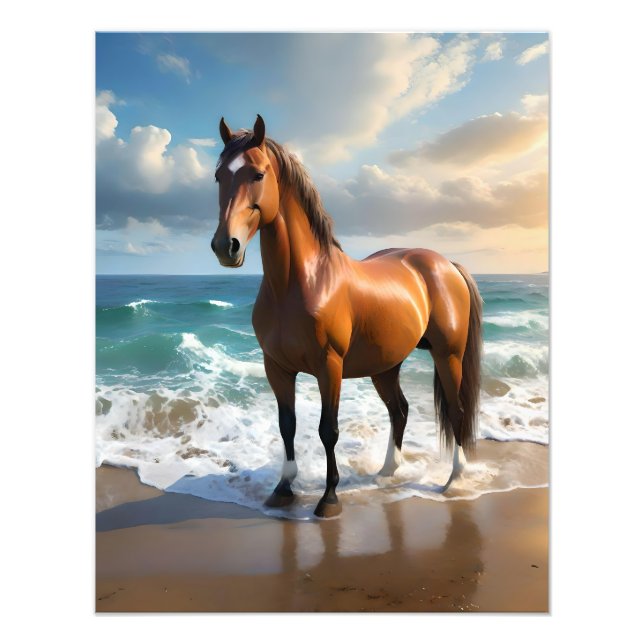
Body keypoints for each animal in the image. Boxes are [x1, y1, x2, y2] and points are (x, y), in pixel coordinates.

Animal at [210, 115, 483, 518]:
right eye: (218, 176)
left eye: (258, 174)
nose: (225, 246)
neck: (300, 282)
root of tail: (446, 264)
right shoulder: (277, 367)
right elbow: (287, 425)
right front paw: (284, 487)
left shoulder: (330, 367)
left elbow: (329, 430)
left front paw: (329, 497)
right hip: (385, 365)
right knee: (400, 410)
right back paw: (387, 470)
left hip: (448, 356)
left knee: (456, 410)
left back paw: (454, 478)